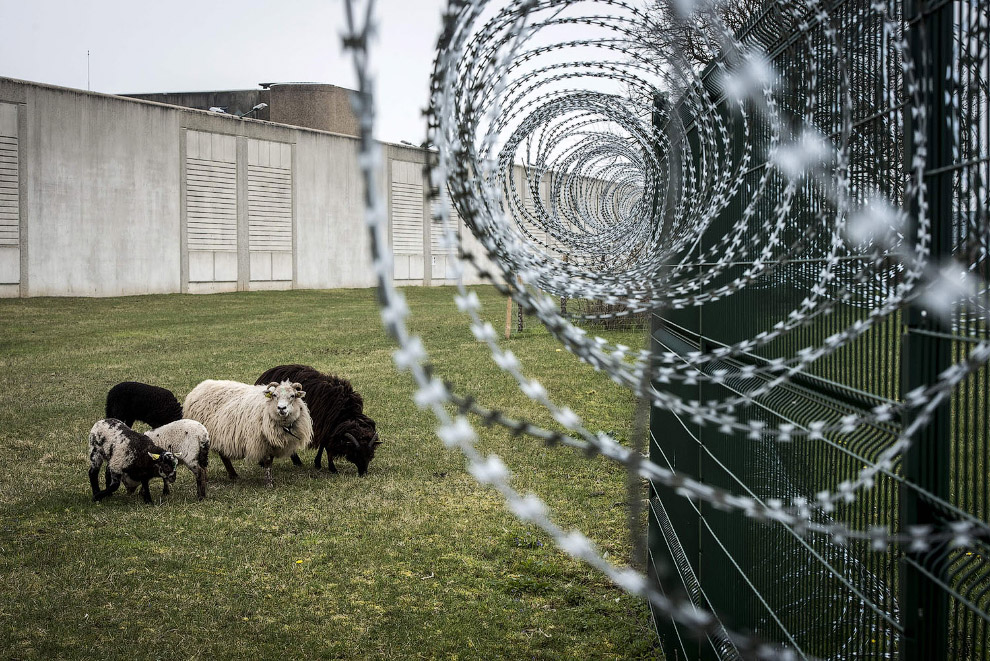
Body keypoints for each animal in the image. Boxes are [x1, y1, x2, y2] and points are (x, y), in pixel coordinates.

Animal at [183, 376, 314, 484]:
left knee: (223, 455)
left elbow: (270, 462)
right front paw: (269, 483)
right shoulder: (262, 441)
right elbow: (267, 462)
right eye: (274, 395)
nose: (281, 408)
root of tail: (199, 387)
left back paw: (233, 475)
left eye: (292, 396)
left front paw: (270, 480)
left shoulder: (271, 442)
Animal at [254, 366, 382, 474]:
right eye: (356, 452)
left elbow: (323, 446)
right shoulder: (324, 426)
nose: (363, 473)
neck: (345, 412)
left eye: (371, 454)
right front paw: (332, 468)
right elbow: (327, 447)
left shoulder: (328, 428)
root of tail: (263, 376)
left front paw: (318, 464)